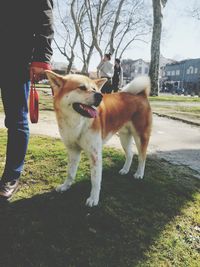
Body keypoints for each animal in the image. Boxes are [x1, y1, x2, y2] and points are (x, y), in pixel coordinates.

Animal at [45, 71, 152, 209]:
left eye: (95, 89)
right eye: (82, 87)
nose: (100, 96)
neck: (78, 123)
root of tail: (141, 95)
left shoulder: (95, 155)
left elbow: (95, 180)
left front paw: (93, 199)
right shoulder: (73, 151)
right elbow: (70, 173)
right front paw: (65, 186)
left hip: (140, 136)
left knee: (142, 157)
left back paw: (139, 174)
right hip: (124, 137)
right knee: (130, 154)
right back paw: (125, 170)